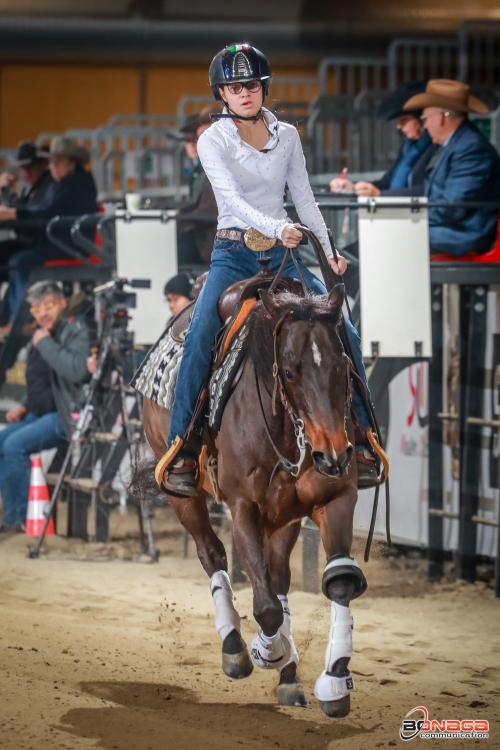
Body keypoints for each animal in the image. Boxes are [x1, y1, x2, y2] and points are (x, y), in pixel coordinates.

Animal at [142, 284, 368, 720]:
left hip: (283, 516)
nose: (335, 455)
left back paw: (290, 675)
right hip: (182, 495)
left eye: (343, 365)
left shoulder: (334, 498)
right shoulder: (243, 507)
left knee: (277, 577)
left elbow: (338, 582)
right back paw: (236, 649)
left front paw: (334, 681)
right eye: (291, 371)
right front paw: (268, 650)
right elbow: (264, 607)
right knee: (212, 553)